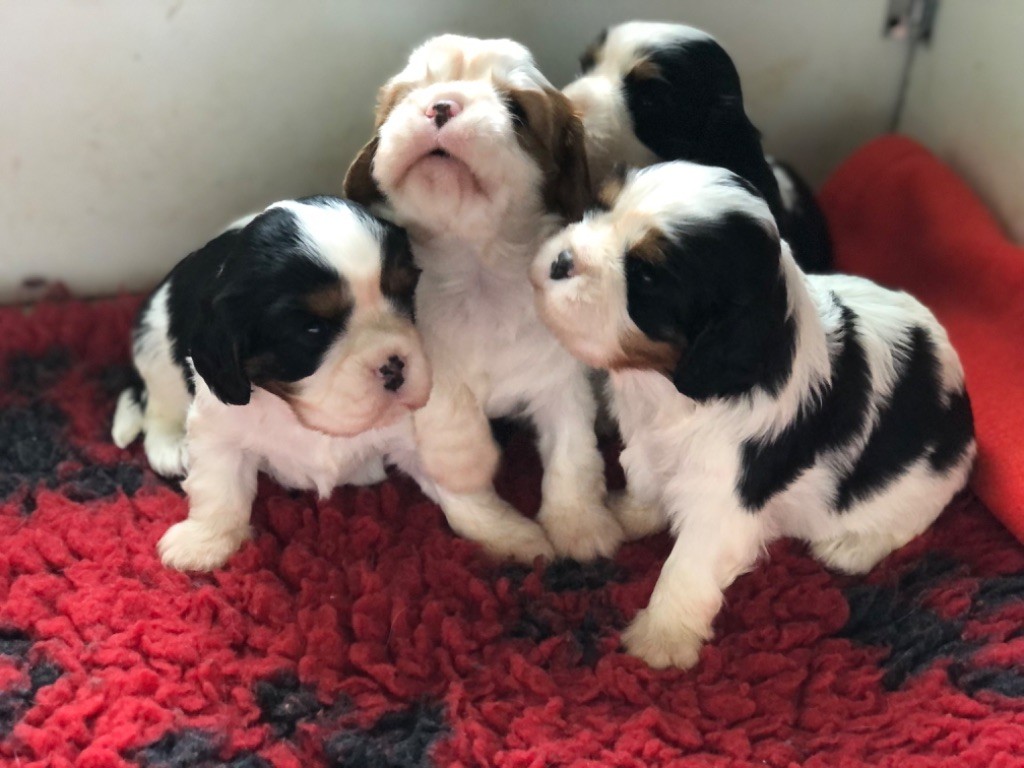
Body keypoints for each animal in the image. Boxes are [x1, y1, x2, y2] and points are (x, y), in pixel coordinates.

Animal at [110, 196, 430, 573]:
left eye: (405, 296)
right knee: (156, 407)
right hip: (156, 347)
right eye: (312, 330)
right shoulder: (219, 428)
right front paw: (204, 543)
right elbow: (220, 486)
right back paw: (170, 447)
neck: (297, 412)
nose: (395, 366)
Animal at [342, 34, 622, 565]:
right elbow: (452, 441)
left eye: (517, 112)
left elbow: (572, 453)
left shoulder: (558, 380)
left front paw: (579, 525)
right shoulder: (421, 374)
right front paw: (505, 529)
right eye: (408, 95)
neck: (477, 268)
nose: (440, 105)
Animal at [536, 160, 974, 667]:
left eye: (645, 278)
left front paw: (661, 638)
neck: (663, 383)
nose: (561, 261)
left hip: (923, 485)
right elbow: (648, 477)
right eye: (597, 208)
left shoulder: (724, 498)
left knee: (908, 519)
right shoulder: (651, 444)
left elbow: (688, 565)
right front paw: (633, 512)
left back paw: (852, 546)